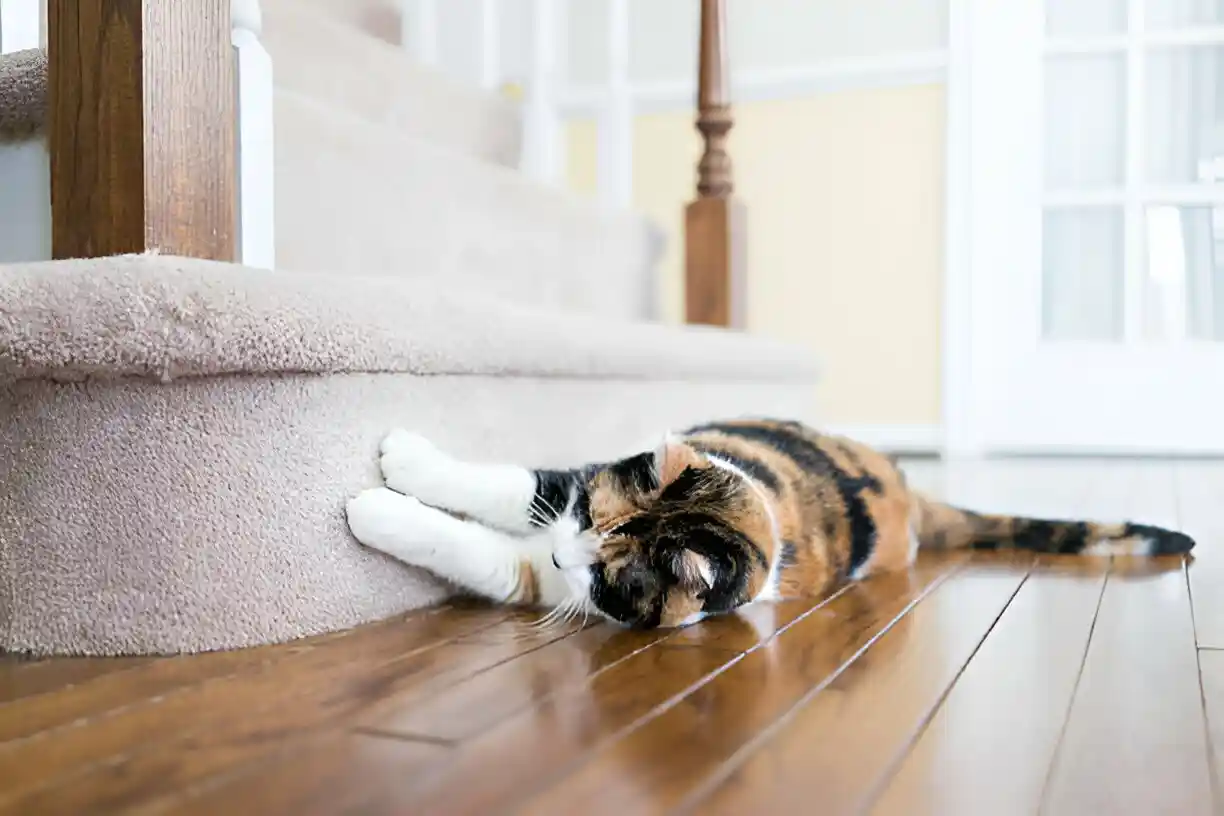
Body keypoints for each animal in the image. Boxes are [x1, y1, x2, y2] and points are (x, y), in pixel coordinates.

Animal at [345, 418, 1194, 631]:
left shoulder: (554, 584)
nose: (562, 558)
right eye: (589, 513)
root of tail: (910, 492)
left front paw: (373, 506)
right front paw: (405, 459)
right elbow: (512, 484)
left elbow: (485, 554)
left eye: (611, 577)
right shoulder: (572, 480)